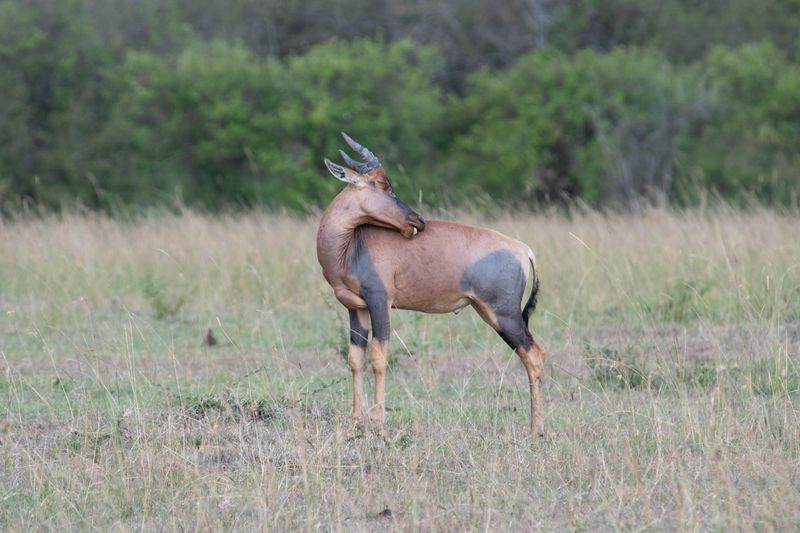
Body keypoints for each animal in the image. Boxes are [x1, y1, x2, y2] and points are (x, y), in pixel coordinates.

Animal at [316, 134, 548, 436]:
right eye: (383, 184)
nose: (417, 221)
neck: (352, 244)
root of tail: (524, 250)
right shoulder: (356, 308)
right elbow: (355, 359)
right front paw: (355, 423)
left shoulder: (380, 302)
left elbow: (379, 359)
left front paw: (378, 424)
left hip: (504, 314)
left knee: (534, 355)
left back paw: (536, 430)